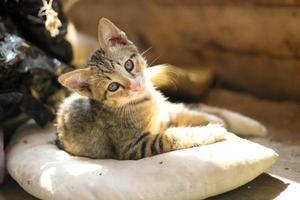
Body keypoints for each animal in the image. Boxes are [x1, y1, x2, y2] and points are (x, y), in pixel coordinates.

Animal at [55, 18, 266, 160]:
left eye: (129, 65)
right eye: (113, 86)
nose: (136, 86)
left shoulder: (166, 112)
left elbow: (189, 111)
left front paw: (225, 121)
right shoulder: (134, 146)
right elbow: (173, 136)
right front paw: (211, 130)